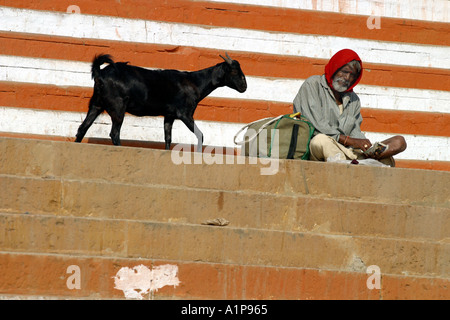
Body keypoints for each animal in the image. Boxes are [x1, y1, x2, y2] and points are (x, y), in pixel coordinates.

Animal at [75, 53, 248, 151]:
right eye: (233, 71)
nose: (244, 86)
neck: (195, 82)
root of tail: (100, 73)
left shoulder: (169, 116)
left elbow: (168, 138)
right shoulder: (185, 114)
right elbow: (200, 134)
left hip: (96, 105)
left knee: (82, 128)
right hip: (118, 108)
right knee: (114, 133)